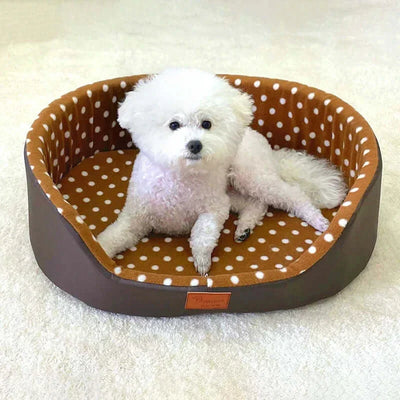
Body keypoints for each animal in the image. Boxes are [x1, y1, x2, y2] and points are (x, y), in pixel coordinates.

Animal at [97, 68, 346, 276]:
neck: (181, 177)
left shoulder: (215, 208)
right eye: (174, 125)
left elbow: (202, 233)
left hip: (251, 176)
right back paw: (244, 228)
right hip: (234, 191)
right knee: (256, 203)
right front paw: (99, 249)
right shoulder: (135, 218)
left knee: (292, 195)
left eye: (206, 124)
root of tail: (265, 146)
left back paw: (316, 220)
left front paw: (202, 261)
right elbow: (115, 235)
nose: (195, 145)